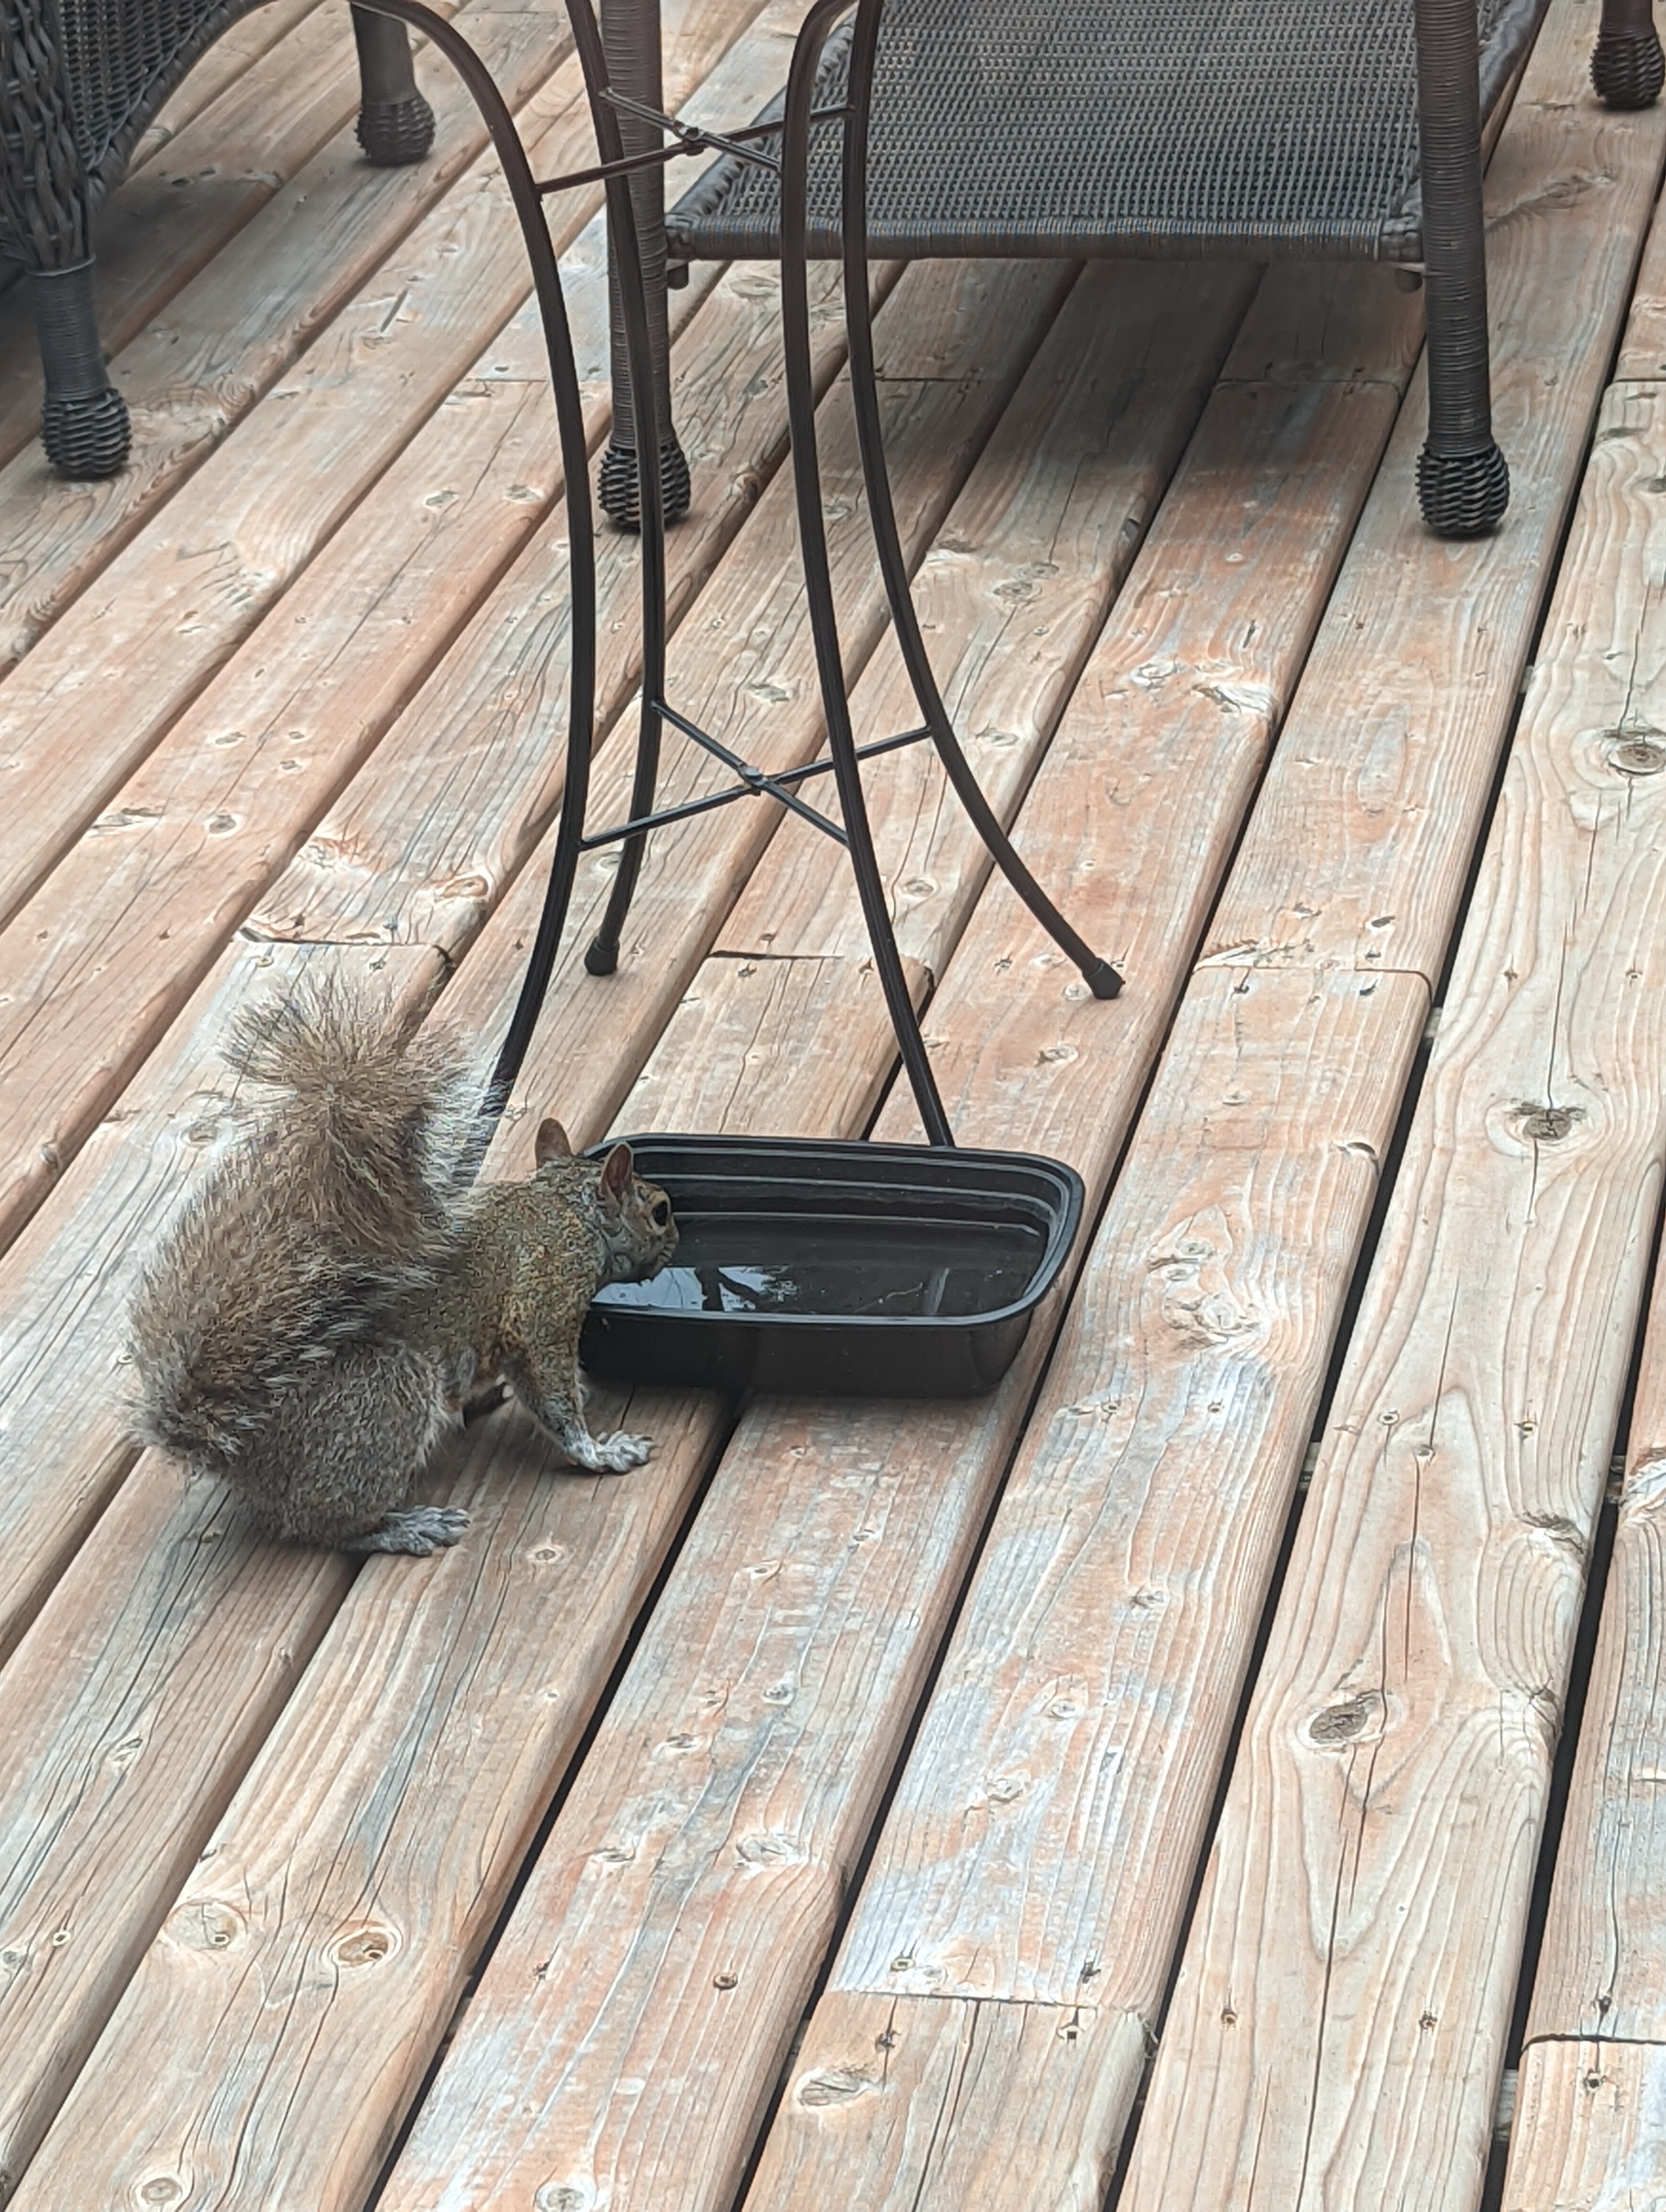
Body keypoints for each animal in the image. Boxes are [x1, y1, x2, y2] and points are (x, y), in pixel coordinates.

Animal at [126, 986, 677, 1557]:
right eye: (661, 1211)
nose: (676, 1243)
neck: (563, 1208)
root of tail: (241, 1459)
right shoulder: (545, 1300)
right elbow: (551, 1387)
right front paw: (599, 1450)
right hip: (387, 1392)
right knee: (325, 1524)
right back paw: (404, 1527)